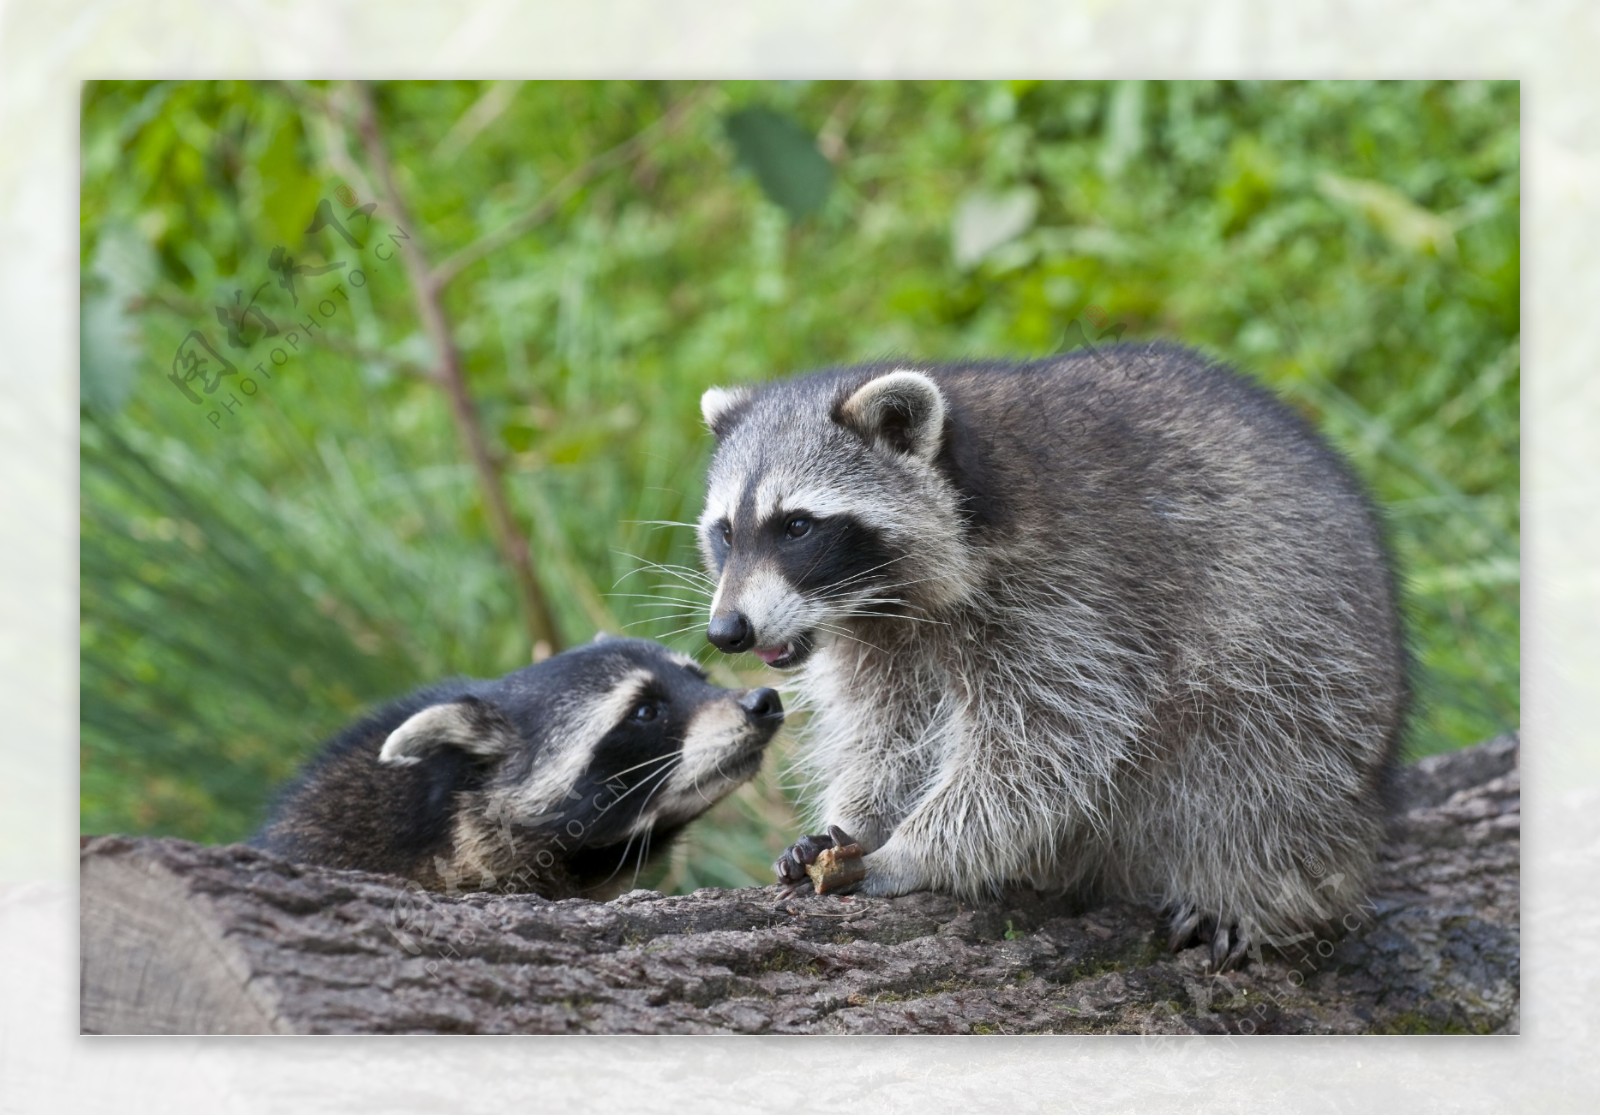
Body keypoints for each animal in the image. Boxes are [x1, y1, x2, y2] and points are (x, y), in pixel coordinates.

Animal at [694, 340, 1408, 965]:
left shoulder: (1075, 593)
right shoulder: (877, 636)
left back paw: (1251, 888)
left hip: (1311, 672)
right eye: (726, 532)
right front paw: (858, 819)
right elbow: (887, 730)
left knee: (1260, 770)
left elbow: (1043, 745)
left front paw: (914, 850)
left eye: (796, 526)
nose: (728, 631)